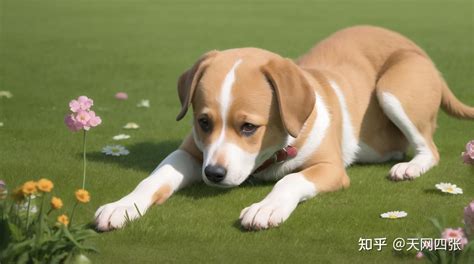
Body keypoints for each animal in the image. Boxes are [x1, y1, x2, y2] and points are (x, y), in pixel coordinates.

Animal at [93, 25, 474, 231]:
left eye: (249, 127)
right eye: (203, 122)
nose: (214, 174)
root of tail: (420, 51)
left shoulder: (330, 168)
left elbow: (291, 179)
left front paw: (266, 208)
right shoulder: (191, 152)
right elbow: (155, 177)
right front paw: (122, 206)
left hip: (394, 88)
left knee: (429, 149)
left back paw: (410, 167)